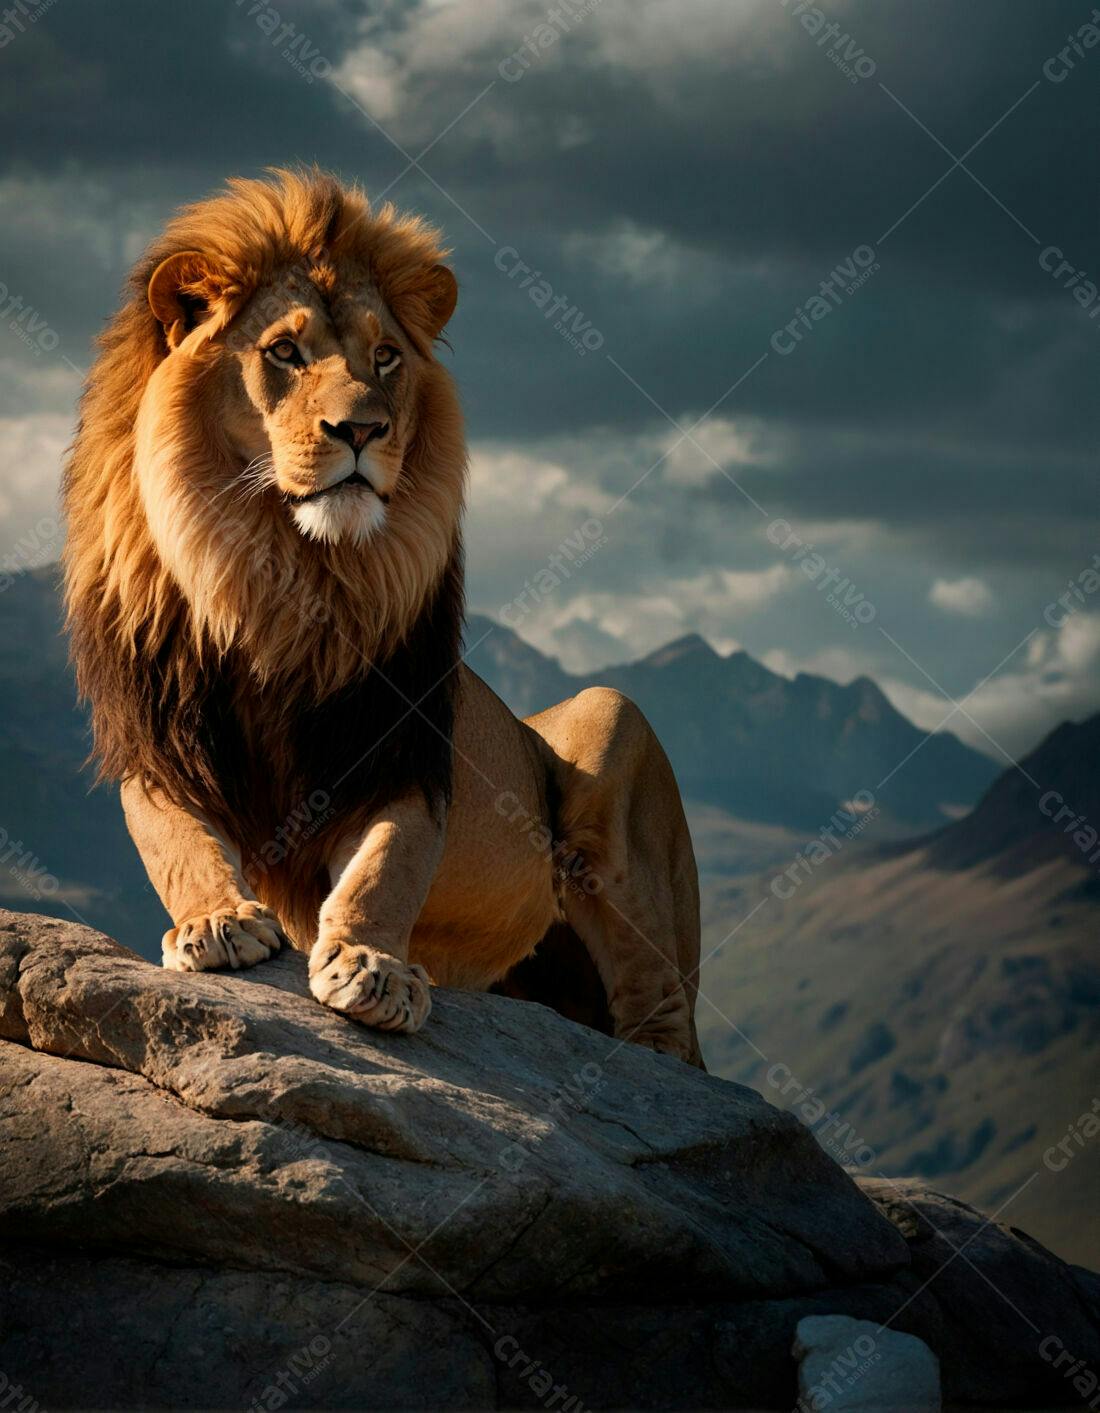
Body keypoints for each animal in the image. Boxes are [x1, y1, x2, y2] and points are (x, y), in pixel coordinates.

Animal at [62, 168, 703, 1065]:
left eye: (386, 357)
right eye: (284, 352)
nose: (364, 428)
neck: (274, 575)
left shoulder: (402, 748)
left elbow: (388, 863)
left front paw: (373, 968)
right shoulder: (156, 743)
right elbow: (175, 841)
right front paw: (218, 920)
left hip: (615, 726)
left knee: (666, 1020)